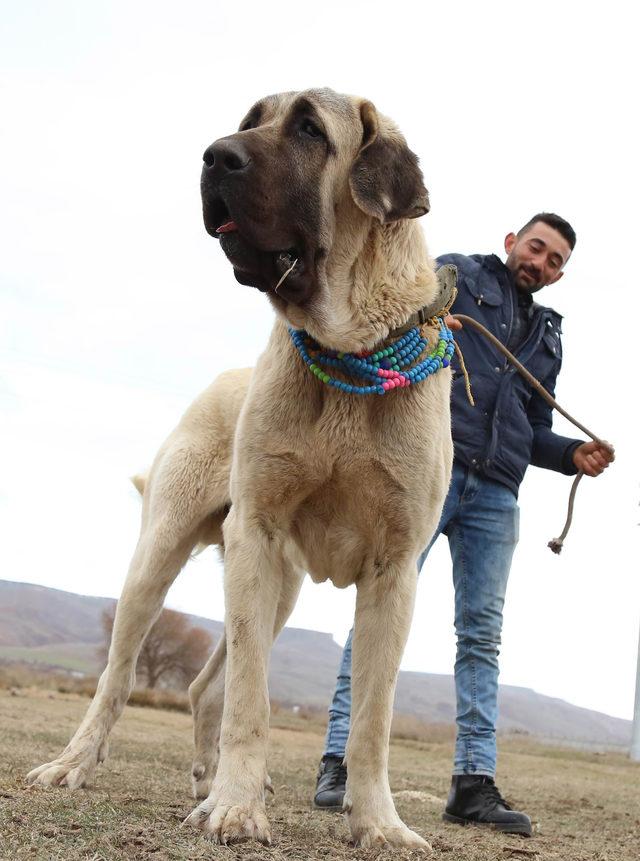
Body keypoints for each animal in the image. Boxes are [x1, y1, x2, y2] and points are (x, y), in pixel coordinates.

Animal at [27, 85, 452, 848]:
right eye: (251, 120)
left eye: (310, 129)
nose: (213, 155)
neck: (346, 355)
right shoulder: (257, 533)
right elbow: (250, 699)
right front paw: (237, 807)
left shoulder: (394, 571)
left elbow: (372, 718)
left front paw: (378, 822)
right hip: (163, 558)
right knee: (119, 676)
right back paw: (77, 764)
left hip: (280, 588)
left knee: (202, 688)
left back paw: (204, 780)